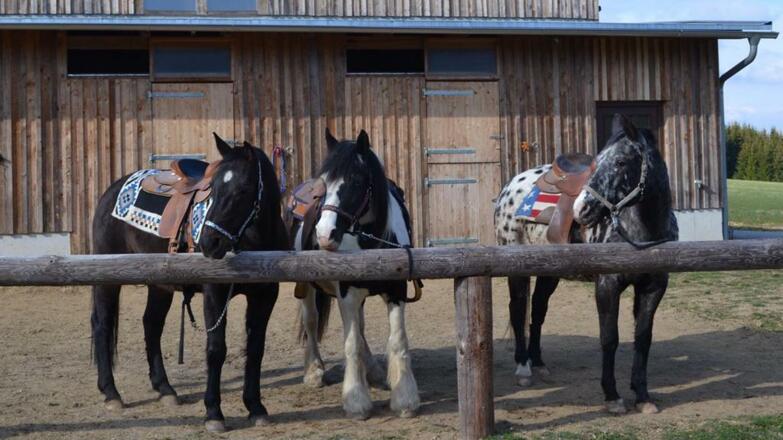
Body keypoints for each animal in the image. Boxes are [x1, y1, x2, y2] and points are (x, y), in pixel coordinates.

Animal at [90, 134, 288, 432]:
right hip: (107, 281)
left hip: (159, 286)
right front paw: (214, 412)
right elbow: (216, 349)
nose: (209, 242)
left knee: (151, 325)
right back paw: (111, 393)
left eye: (243, 190)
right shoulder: (215, 293)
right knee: (103, 326)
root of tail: (111, 191)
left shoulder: (266, 295)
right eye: (213, 189)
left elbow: (255, 349)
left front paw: (256, 407)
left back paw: (165, 389)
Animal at [290, 129, 420, 420]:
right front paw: (356, 401)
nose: (324, 234)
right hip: (307, 287)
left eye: (356, 181)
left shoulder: (396, 291)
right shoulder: (346, 294)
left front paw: (404, 398)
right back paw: (314, 371)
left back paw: (373, 371)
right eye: (324, 184)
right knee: (311, 321)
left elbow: (398, 340)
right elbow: (351, 344)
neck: (372, 241)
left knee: (359, 327)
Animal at [494, 114, 678, 414]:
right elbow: (609, 338)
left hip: (550, 273)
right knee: (518, 309)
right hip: (516, 266)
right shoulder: (607, 285)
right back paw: (523, 368)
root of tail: (510, 187)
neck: (643, 230)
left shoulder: (654, 286)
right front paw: (612, 395)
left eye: (620, 162)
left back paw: (539, 363)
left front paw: (642, 396)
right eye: (597, 161)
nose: (581, 209)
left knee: (538, 309)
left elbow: (643, 338)